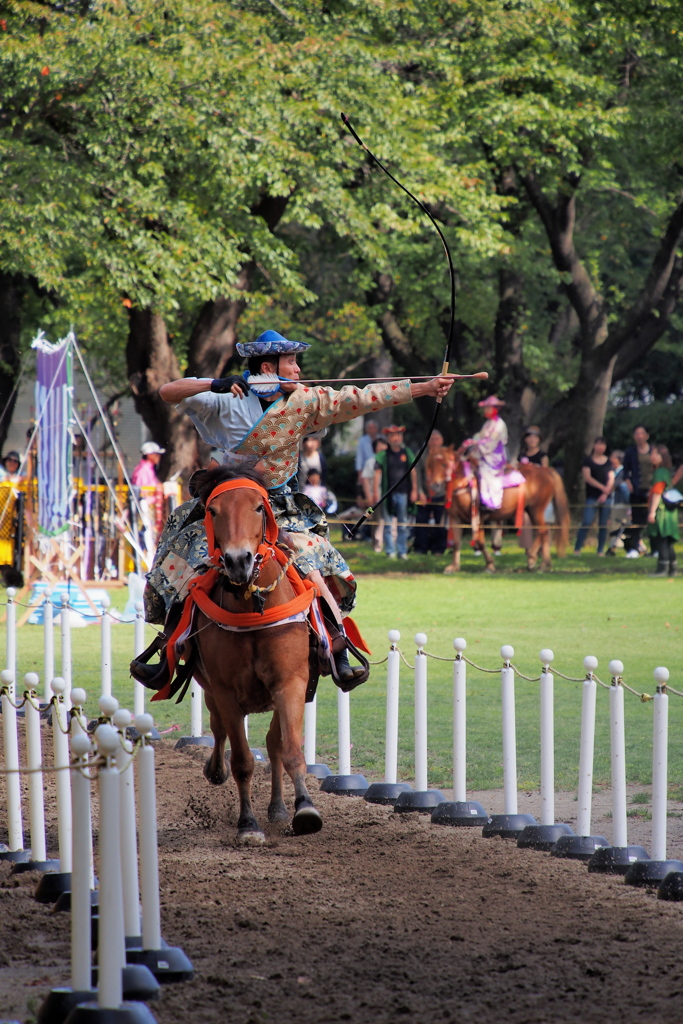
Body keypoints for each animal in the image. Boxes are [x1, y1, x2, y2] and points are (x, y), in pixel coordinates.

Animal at [180, 468, 321, 843]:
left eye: (259, 507)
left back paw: (278, 807)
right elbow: (242, 760)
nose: (237, 560)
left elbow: (291, 750)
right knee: (219, 730)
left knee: (274, 743)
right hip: (212, 690)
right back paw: (216, 770)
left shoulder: (291, 682)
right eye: (212, 511)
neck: (253, 605)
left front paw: (305, 808)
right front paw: (248, 824)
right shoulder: (225, 690)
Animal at [438, 452, 573, 573]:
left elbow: (480, 541)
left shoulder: (478, 518)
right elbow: (458, 542)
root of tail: (546, 471)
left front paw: (489, 566)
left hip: (536, 509)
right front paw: (453, 567)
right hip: (531, 510)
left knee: (542, 531)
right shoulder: (456, 518)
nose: (436, 485)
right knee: (543, 532)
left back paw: (533, 561)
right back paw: (543, 564)